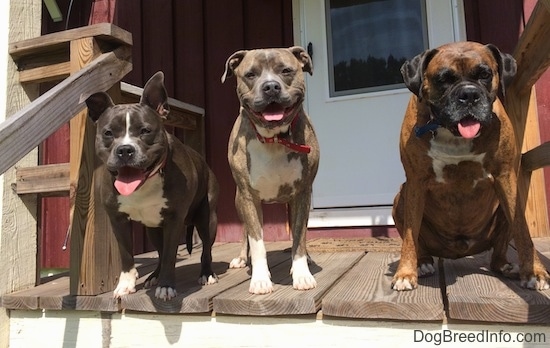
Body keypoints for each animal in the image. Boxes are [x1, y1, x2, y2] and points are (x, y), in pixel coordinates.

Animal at [222, 46, 322, 294]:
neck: (273, 137)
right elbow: (257, 242)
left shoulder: (302, 194)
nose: (270, 87)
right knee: (245, 233)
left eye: (286, 71)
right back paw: (241, 258)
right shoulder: (249, 198)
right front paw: (260, 279)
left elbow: (299, 238)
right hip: (239, 202)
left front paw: (302, 274)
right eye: (250, 74)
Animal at [392, 40, 550, 290]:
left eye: (485, 74)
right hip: (401, 198)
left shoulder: (506, 177)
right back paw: (423, 263)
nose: (469, 94)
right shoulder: (415, 182)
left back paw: (506, 266)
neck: (451, 133)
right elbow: (410, 233)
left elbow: (522, 229)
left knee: (498, 253)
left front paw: (534, 272)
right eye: (443, 79)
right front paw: (406, 273)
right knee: (418, 239)